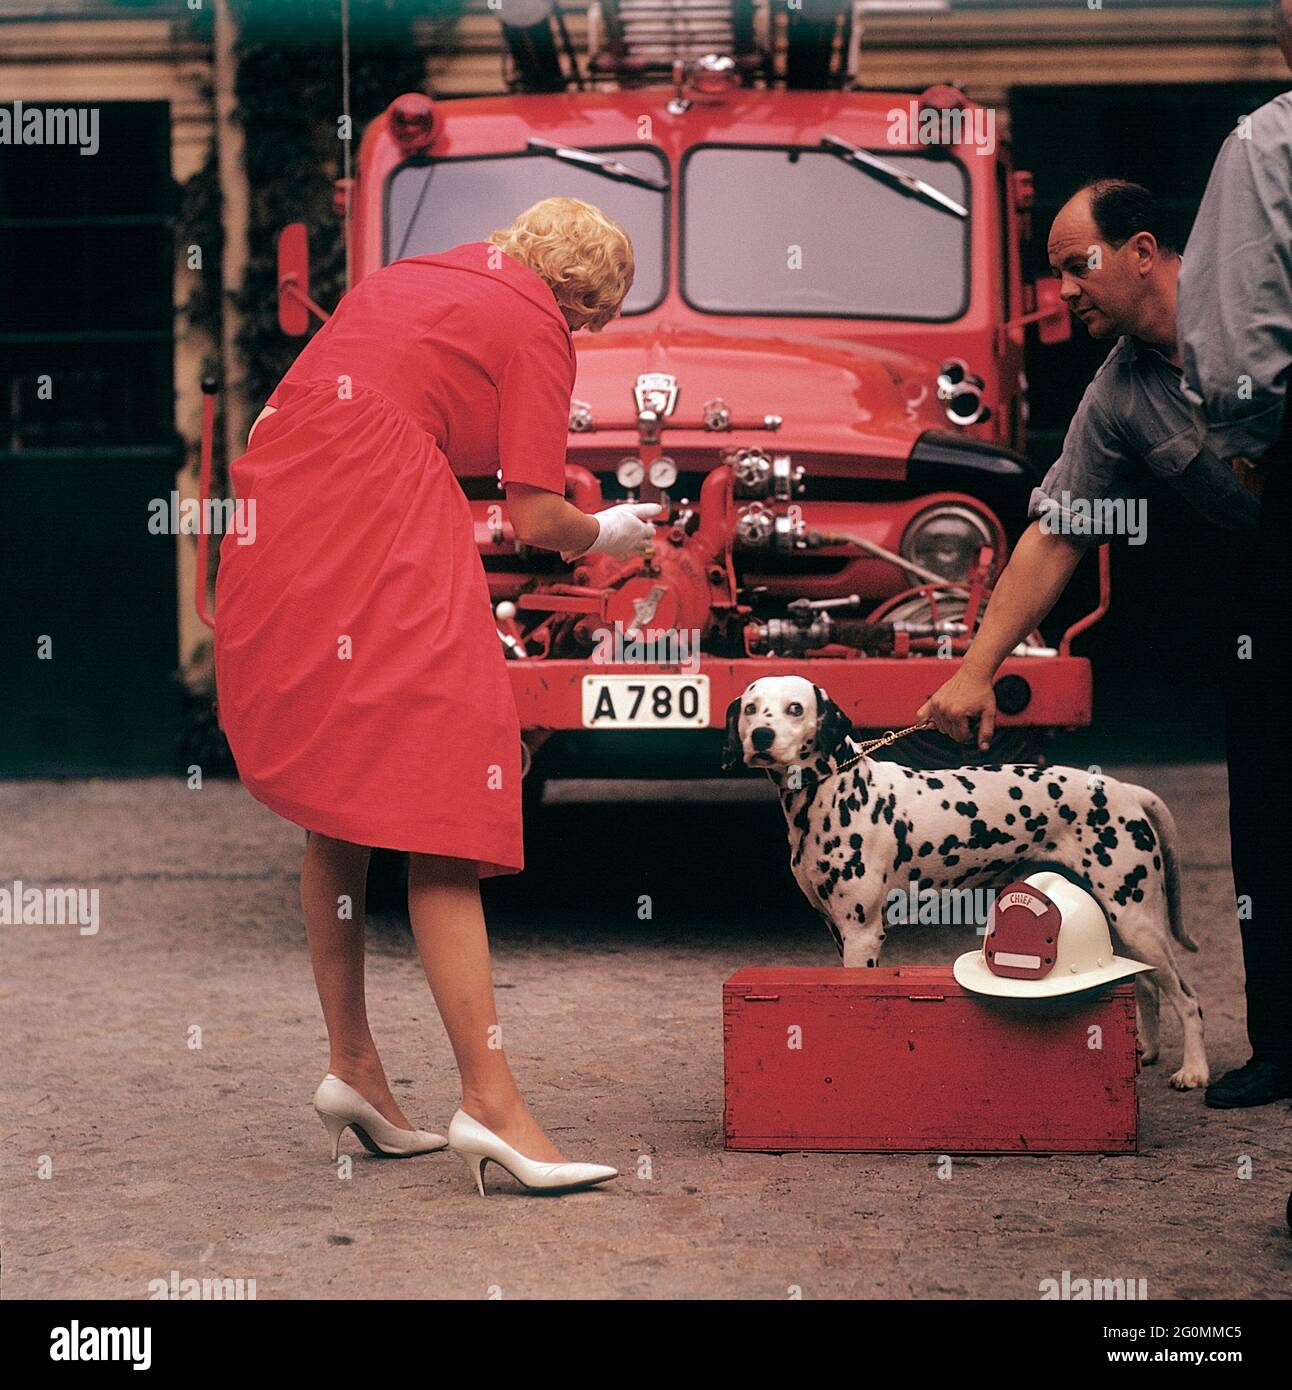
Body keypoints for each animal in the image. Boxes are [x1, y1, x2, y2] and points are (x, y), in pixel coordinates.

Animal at [723, 678, 1207, 1089]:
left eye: (795, 708)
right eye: (751, 708)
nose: (761, 736)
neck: (835, 790)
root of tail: (1123, 789)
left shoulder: (862, 935)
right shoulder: (839, 931)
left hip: (1137, 921)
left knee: (1188, 999)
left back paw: (1195, 1071)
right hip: (1120, 920)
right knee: (1147, 985)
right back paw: (1148, 1051)